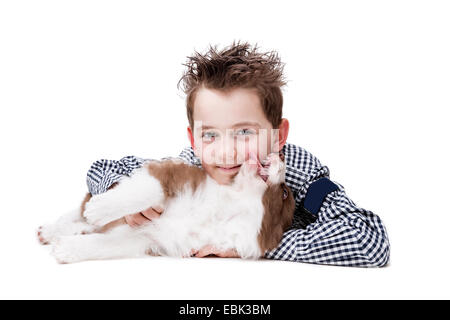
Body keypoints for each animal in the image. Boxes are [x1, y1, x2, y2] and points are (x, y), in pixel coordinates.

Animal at [38, 154, 296, 264]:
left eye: (284, 193)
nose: (278, 155)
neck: (229, 208)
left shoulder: (146, 238)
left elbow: (103, 245)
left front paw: (67, 250)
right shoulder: (169, 176)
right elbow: (144, 193)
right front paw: (100, 209)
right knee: (78, 213)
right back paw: (51, 230)